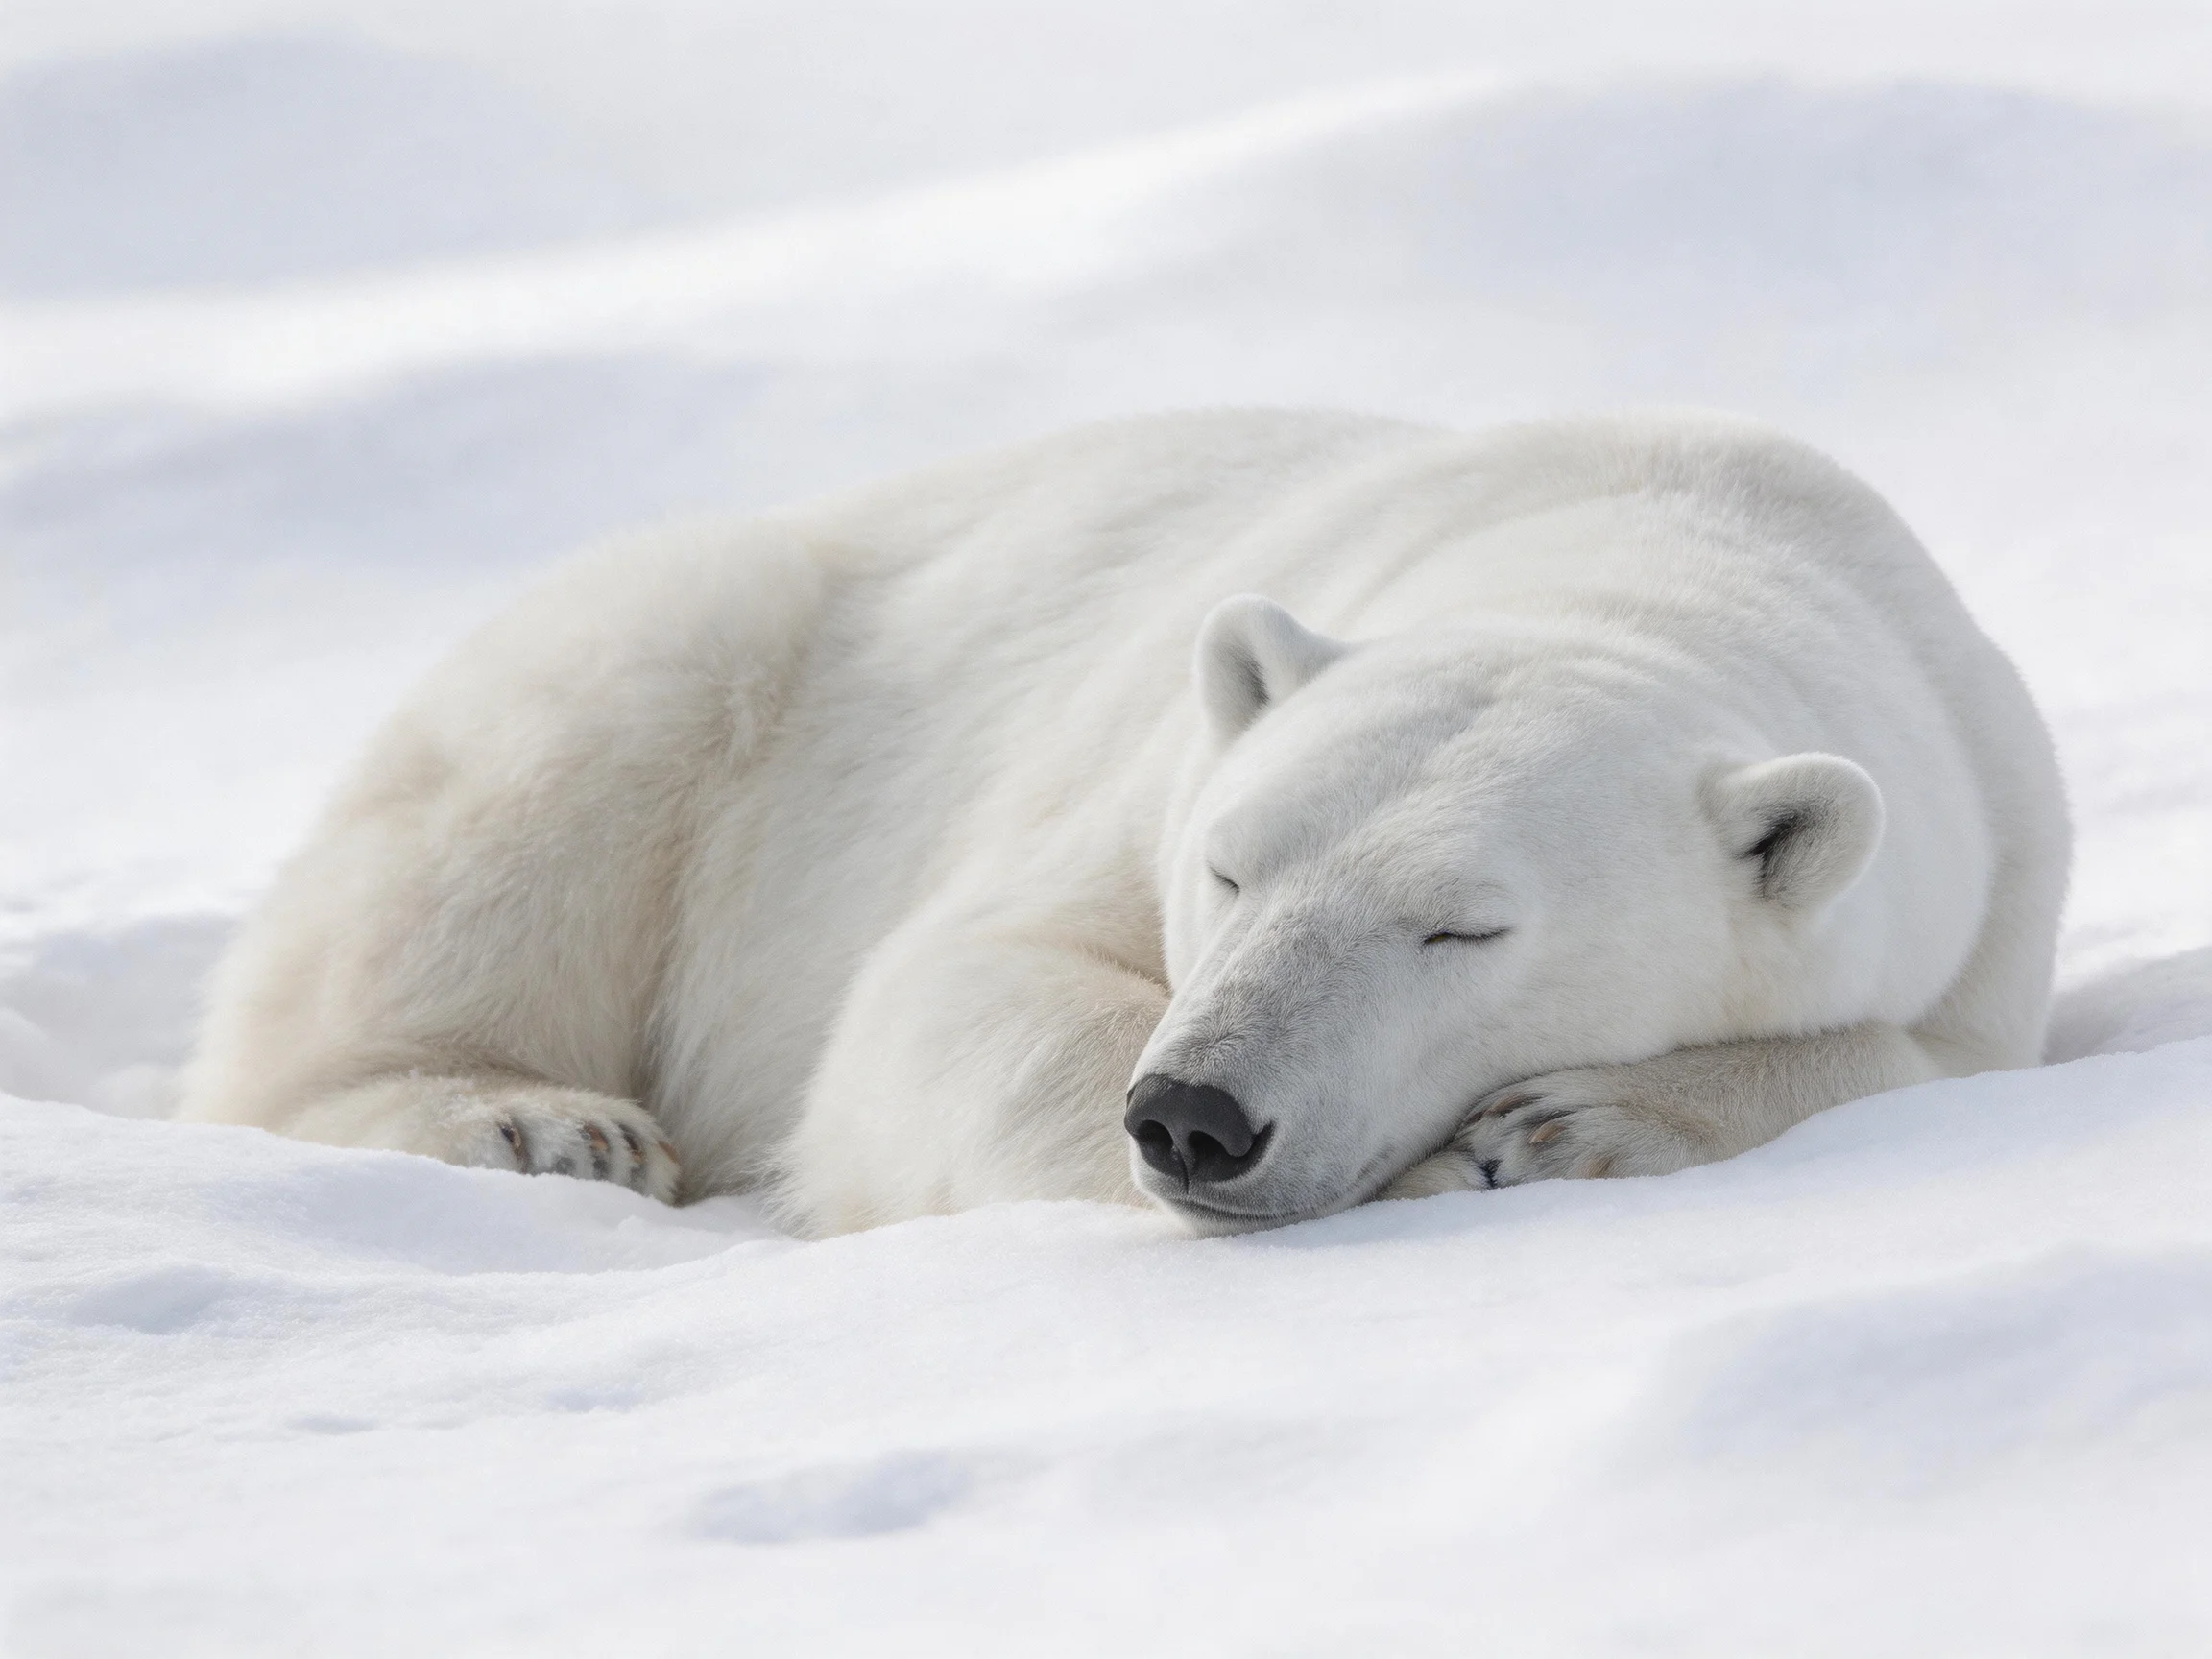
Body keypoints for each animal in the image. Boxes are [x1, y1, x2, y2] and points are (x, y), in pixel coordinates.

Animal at [177, 409, 2070, 1236]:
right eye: (1227, 866)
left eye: (1461, 926)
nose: (1197, 1118)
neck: (1662, 542)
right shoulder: (1129, 769)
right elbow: (962, 981)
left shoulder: (1987, 861)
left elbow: (1919, 1056)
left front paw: (1570, 1121)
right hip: (715, 657)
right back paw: (530, 1121)